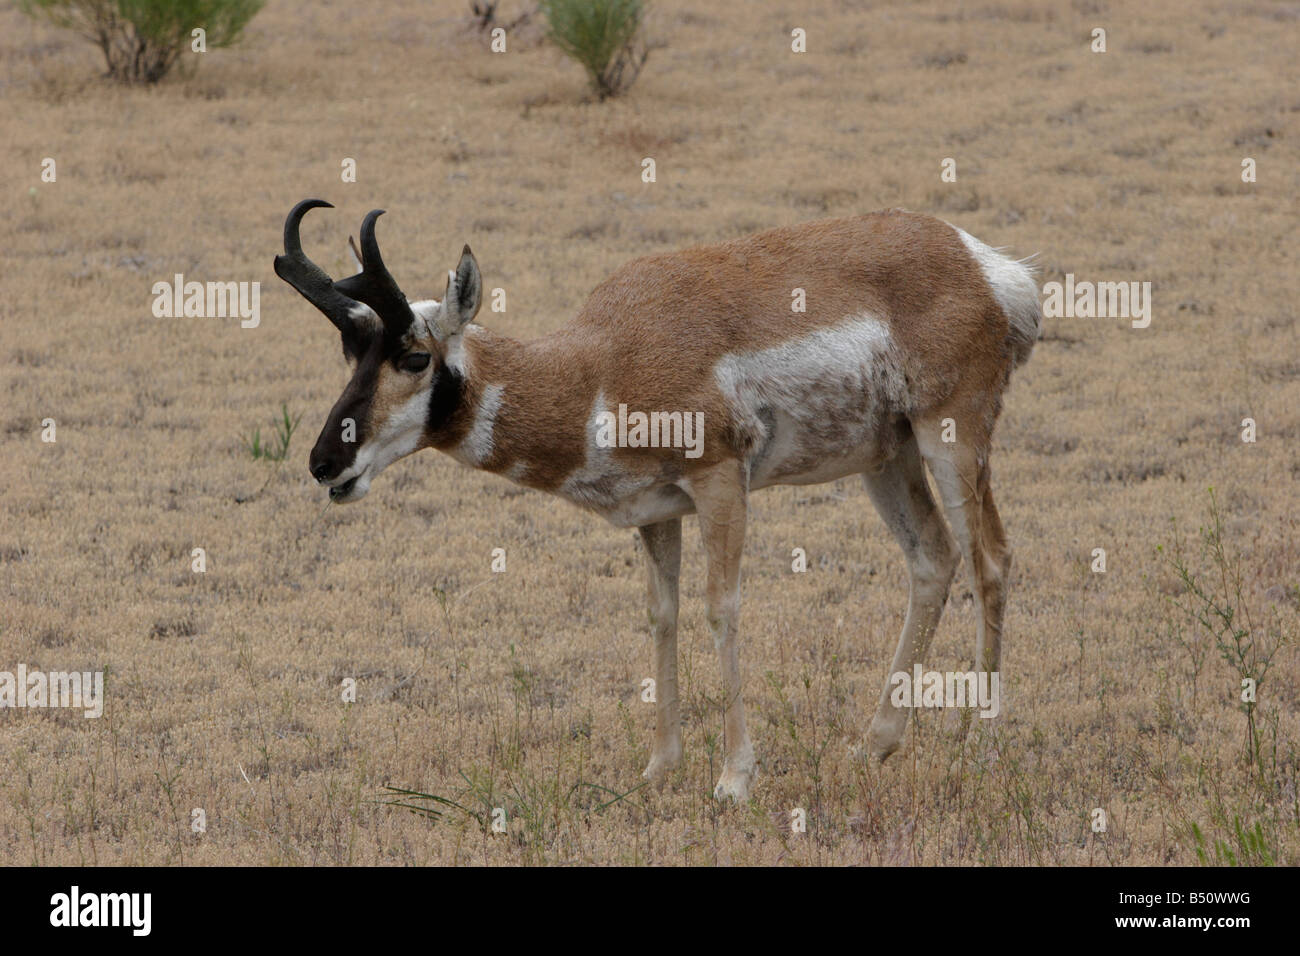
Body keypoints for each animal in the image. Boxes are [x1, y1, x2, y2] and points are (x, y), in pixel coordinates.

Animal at [274, 197, 1034, 806]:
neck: (602, 361)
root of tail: (980, 263)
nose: (323, 464)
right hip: (888, 459)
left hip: (951, 440)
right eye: (351, 353)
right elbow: (661, 616)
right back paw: (873, 744)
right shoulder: (659, 512)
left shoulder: (720, 483)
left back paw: (983, 742)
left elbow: (720, 609)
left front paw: (733, 779)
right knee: (932, 559)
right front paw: (659, 768)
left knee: (991, 559)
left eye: (413, 356)